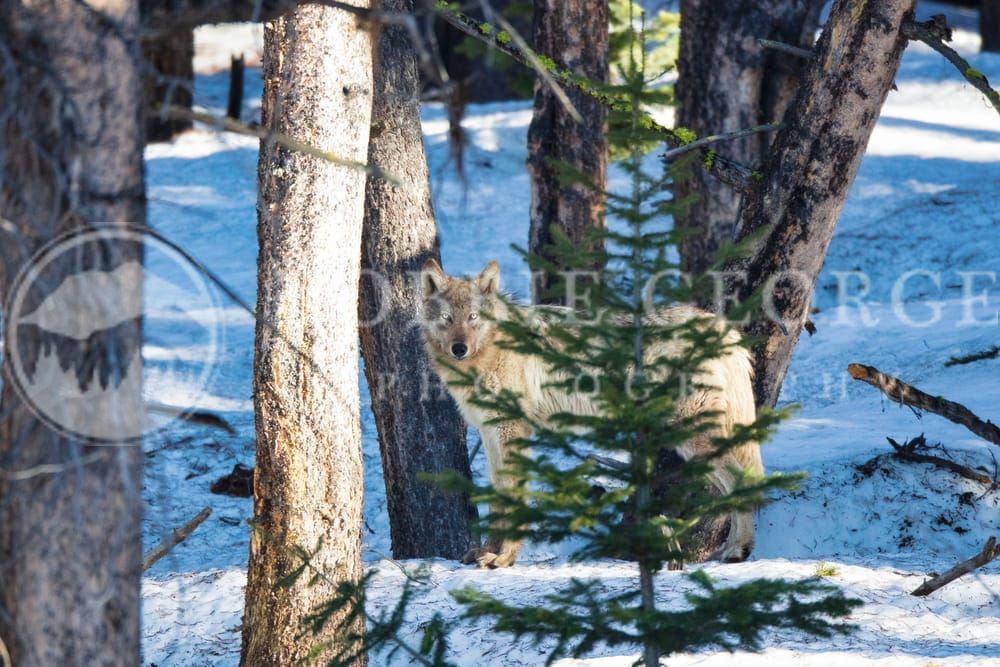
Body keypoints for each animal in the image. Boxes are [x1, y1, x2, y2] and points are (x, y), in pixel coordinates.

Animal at [419, 258, 764, 568]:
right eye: (447, 319)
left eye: (473, 317)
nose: (459, 349)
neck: (491, 351)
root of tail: (723, 328)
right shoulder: (492, 434)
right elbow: (498, 496)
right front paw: (487, 552)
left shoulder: (513, 433)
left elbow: (514, 498)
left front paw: (504, 558)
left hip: (694, 438)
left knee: (742, 482)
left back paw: (738, 551)